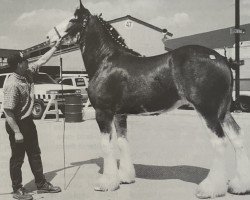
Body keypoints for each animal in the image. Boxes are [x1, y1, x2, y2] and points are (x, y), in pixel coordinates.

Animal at [47, 1, 250, 198]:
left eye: (73, 19)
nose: (48, 36)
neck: (106, 60)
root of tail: (221, 59)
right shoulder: (120, 115)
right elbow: (122, 142)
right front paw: (125, 177)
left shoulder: (103, 113)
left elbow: (107, 145)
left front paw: (106, 183)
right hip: (223, 111)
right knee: (237, 138)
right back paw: (239, 186)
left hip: (207, 111)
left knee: (219, 142)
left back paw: (209, 189)